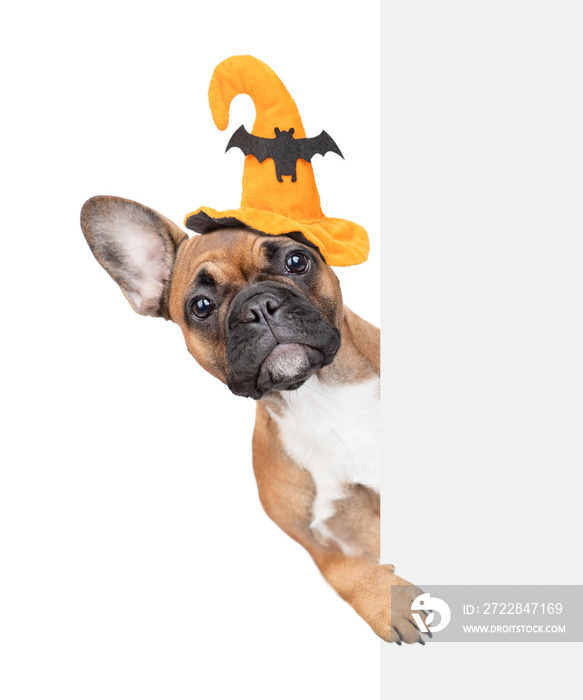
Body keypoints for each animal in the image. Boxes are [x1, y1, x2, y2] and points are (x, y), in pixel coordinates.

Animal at [80, 194, 428, 644]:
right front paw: (391, 602)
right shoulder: (312, 539)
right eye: (201, 306)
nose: (258, 306)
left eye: (297, 261)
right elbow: (341, 569)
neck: (318, 397)